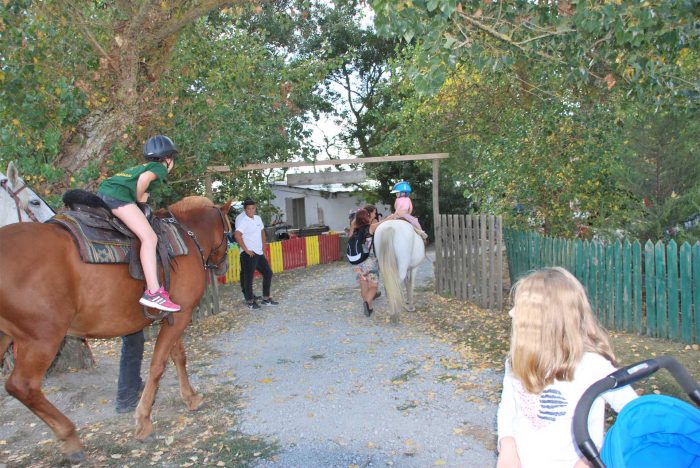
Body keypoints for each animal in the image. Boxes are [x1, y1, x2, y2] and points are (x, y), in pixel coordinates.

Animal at [0, 196, 234, 462]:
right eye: (228, 232)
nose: (223, 266)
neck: (187, 235)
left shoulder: (174, 317)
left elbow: (178, 357)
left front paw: (190, 398)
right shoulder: (181, 315)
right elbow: (158, 365)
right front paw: (144, 421)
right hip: (43, 339)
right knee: (21, 386)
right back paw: (70, 437)